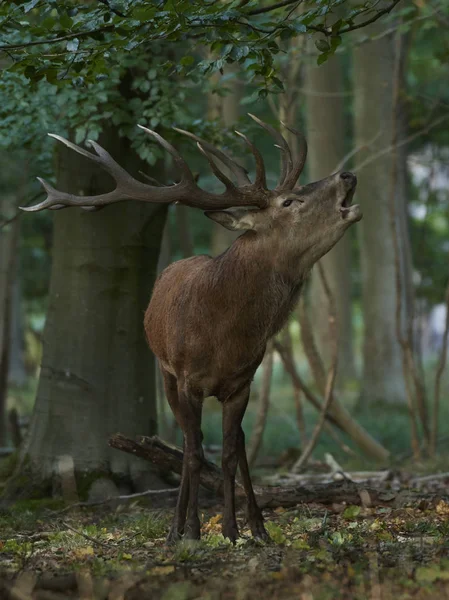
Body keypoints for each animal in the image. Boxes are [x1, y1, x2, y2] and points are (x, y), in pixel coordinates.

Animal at [23, 112, 360, 544]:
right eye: (290, 201)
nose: (347, 175)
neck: (226, 334)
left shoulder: (242, 383)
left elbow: (230, 454)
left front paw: (233, 530)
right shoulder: (187, 379)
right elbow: (196, 453)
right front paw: (194, 531)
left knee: (238, 444)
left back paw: (257, 527)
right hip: (165, 373)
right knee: (187, 443)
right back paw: (177, 527)